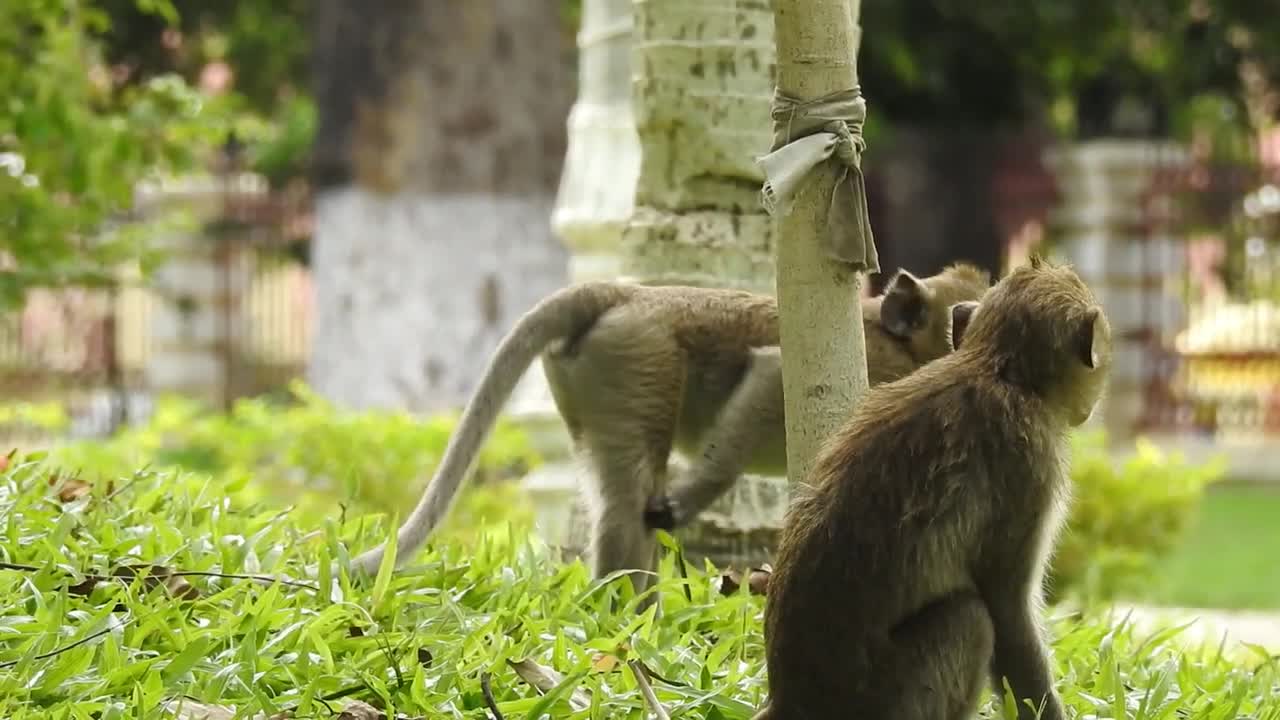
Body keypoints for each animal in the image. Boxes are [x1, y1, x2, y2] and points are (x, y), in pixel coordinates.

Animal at [337, 260, 988, 591]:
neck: (899, 344)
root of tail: (622, 295)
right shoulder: (877, 373)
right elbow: (770, 372)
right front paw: (694, 493)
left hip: (593, 376)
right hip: (640, 358)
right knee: (630, 497)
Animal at [752, 254, 1105, 717]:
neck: (998, 371)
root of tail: (791, 701)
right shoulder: (1031, 466)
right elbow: (1007, 612)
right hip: (887, 697)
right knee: (969, 619)